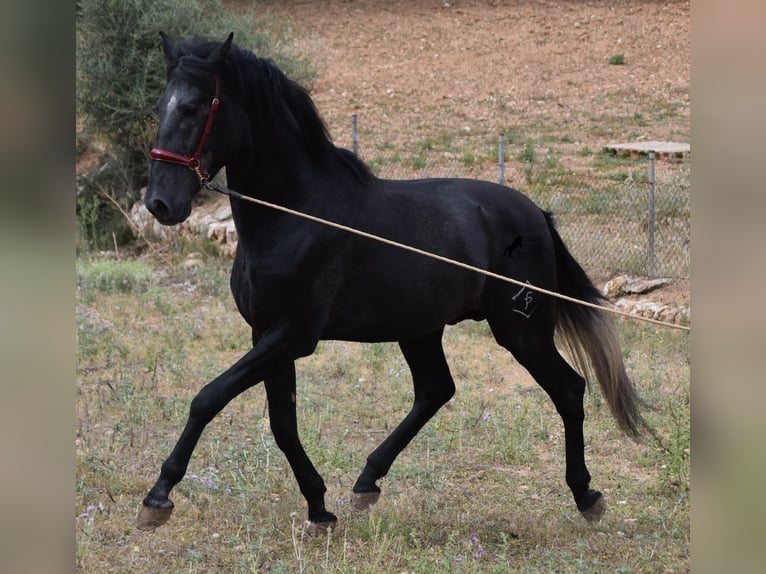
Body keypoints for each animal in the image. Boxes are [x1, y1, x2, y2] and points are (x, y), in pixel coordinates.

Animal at [136, 31, 640, 536]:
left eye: (194, 107)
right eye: (160, 105)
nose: (160, 203)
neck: (295, 215)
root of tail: (535, 213)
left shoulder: (292, 336)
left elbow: (208, 398)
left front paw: (158, 496)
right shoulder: (267, 335)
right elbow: (282, 425)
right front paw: (319, 507)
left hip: (522, 331)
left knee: (568, 390)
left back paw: (586, 495)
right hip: (421, 329)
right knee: (436, 391)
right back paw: (367, 482)